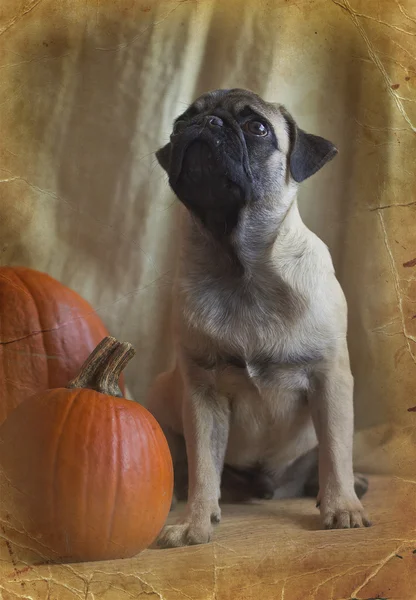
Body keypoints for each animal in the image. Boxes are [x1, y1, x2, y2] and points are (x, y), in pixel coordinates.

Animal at [147, 89, 370, 548]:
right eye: (181, 122)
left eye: (257, 127)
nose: (208, 123)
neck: (243, 268)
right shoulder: (203, 396)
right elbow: (204, 468)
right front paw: (195, 522)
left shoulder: (331, 380)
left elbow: (335, 451)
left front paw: (342, 506)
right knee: (187, 467)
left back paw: (347, 487)